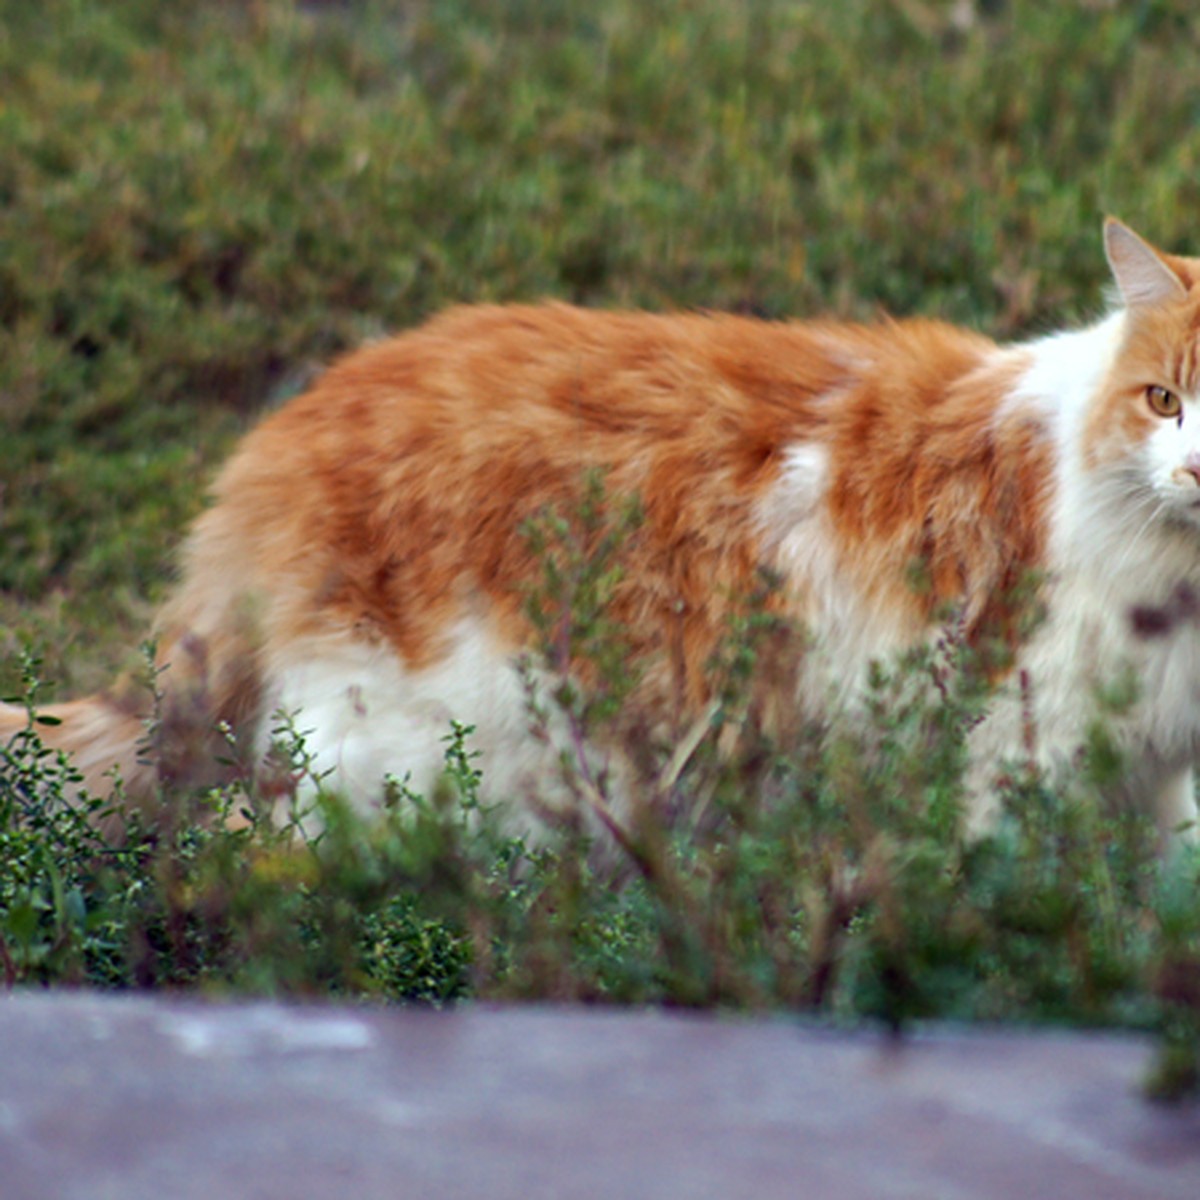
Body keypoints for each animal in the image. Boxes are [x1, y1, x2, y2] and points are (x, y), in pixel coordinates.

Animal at [2, 218, 1200, 844]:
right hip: (423, 761)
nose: (1193, 466)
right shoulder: (1018, 753)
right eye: (1166, 400)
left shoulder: (1152, 770)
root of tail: (287, 428)